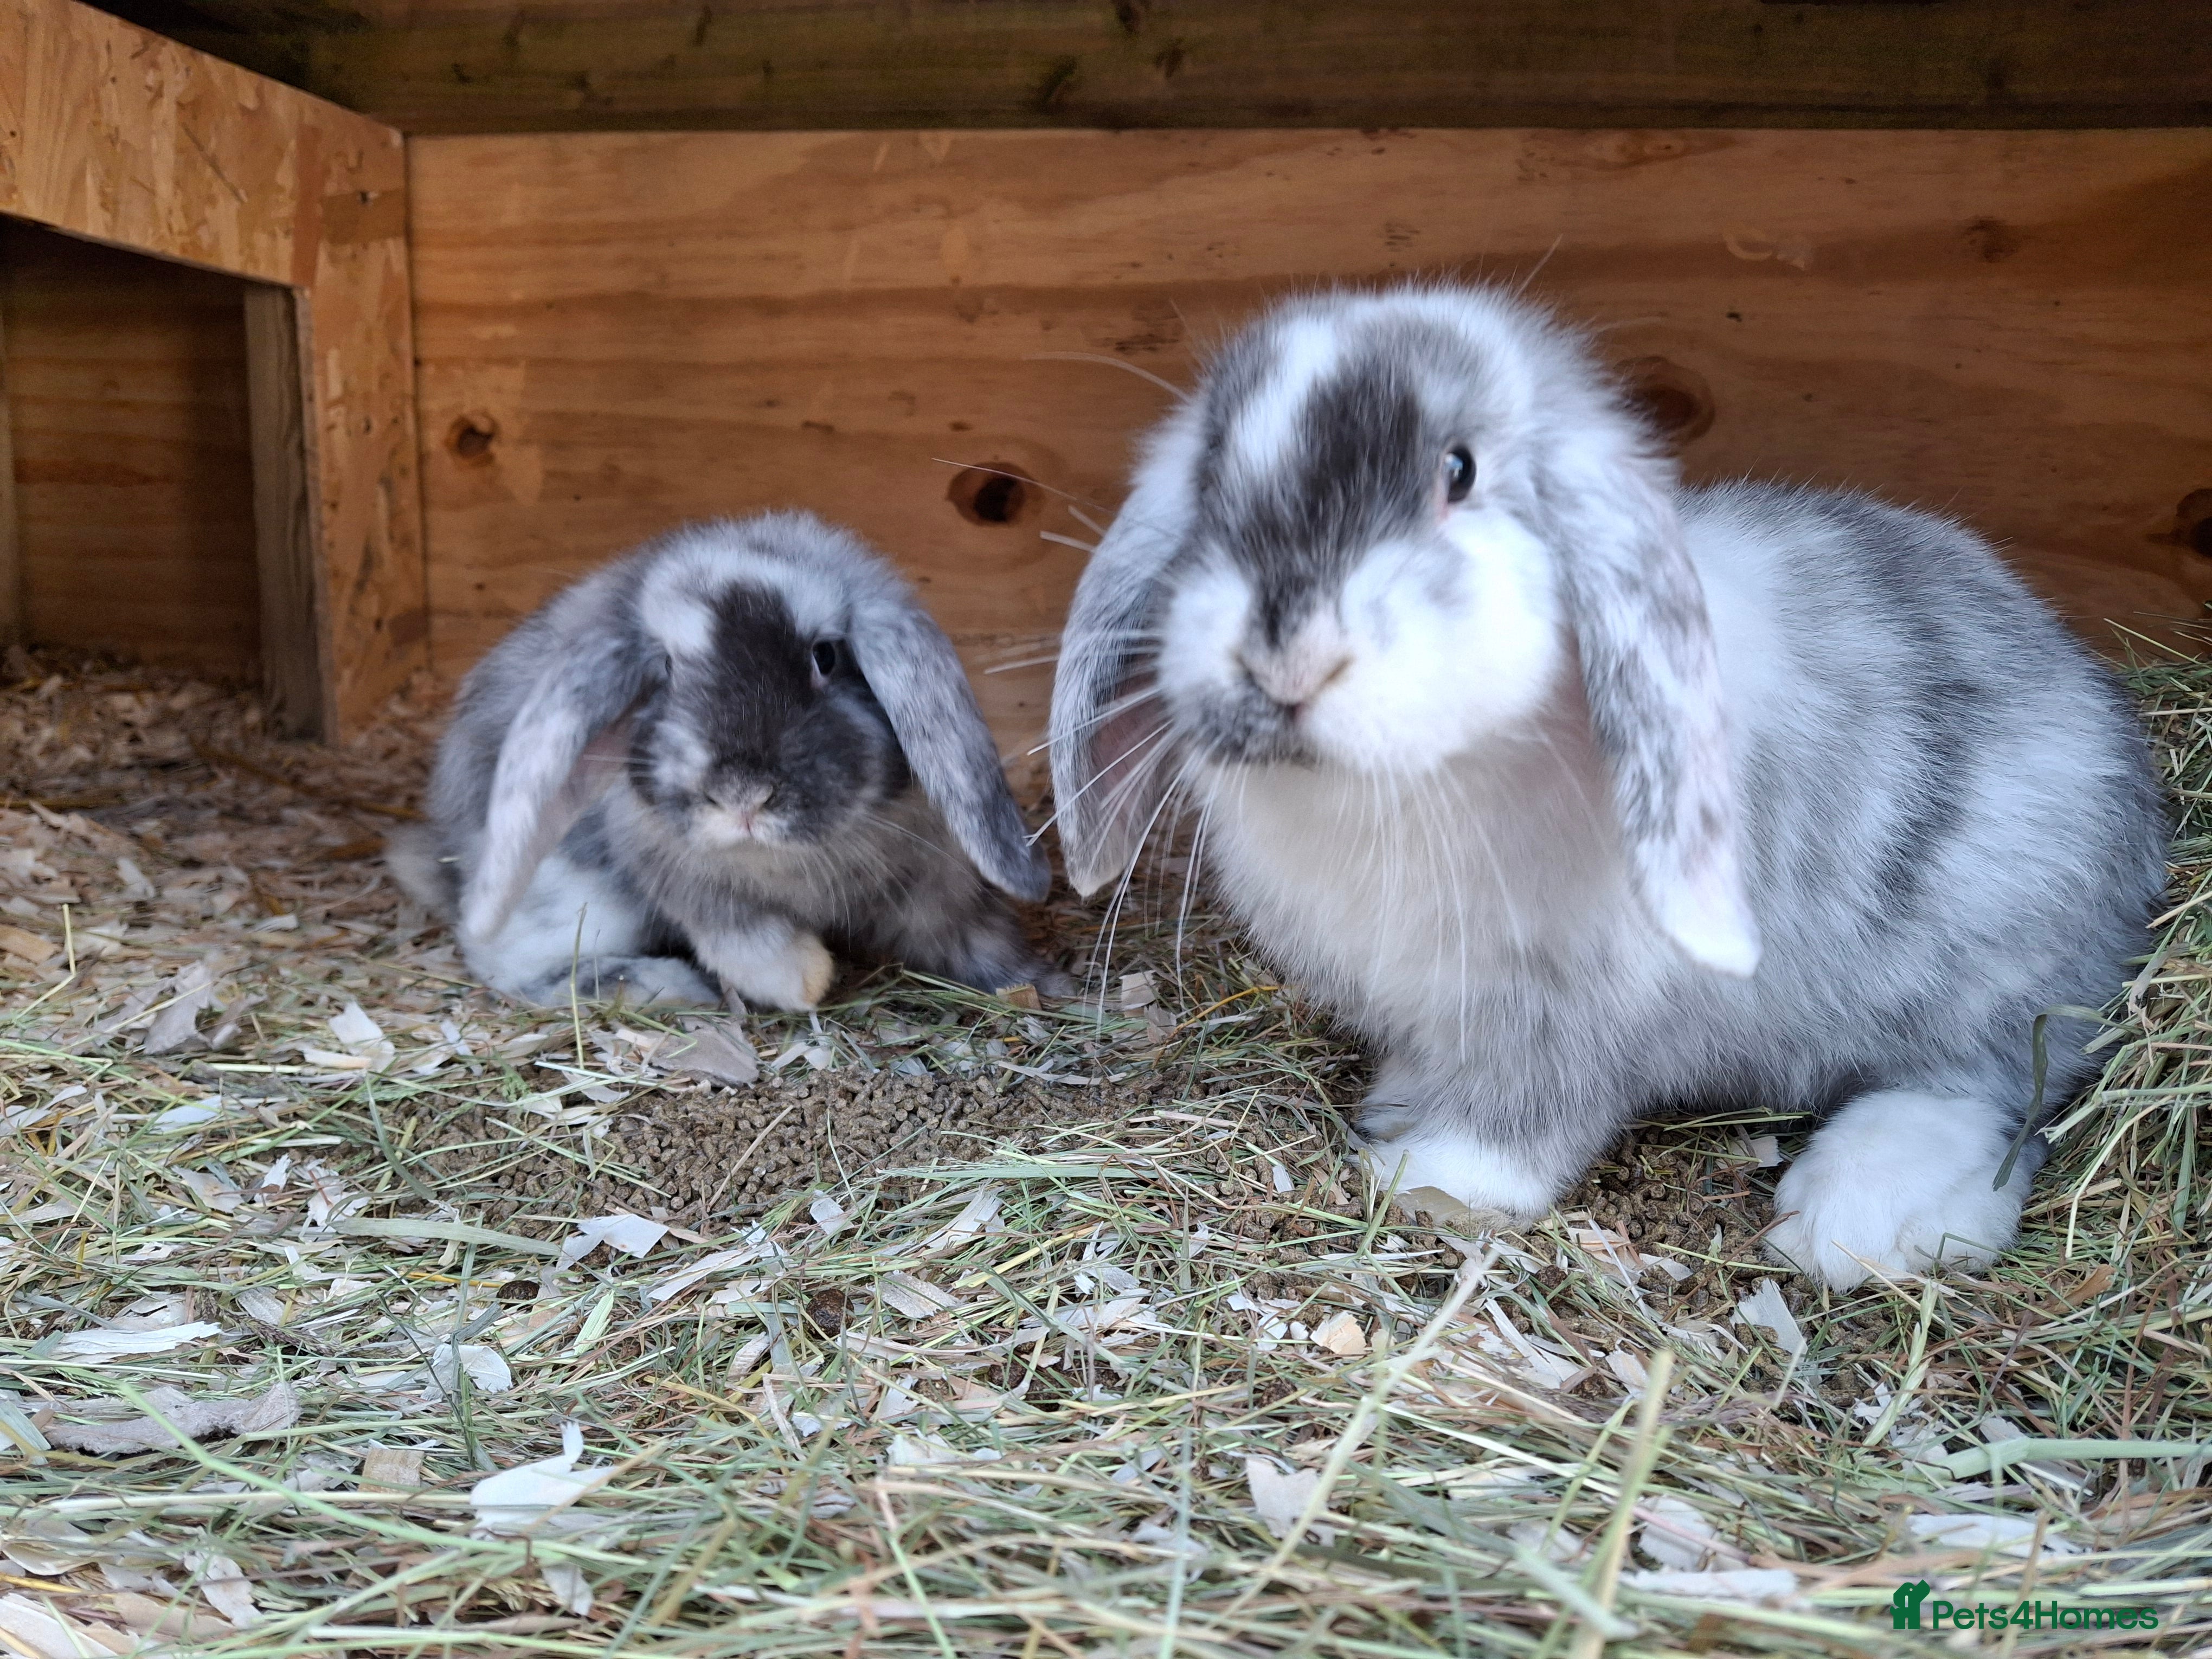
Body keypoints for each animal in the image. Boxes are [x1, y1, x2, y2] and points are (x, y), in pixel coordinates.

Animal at [392, 512, 1056, 1012]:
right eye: (665, 668)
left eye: (825, 656)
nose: (744, 796)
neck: (782, 859)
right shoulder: (690, 885)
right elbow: (748, 939)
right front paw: (808, 980)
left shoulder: (938, 881)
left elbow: (974, 936)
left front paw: (1038, 983)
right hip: (574, 901)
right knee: (510, 965)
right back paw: (667, 985)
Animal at [1048, 283, 2166, 1290]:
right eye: (1209, 479)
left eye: (1460, 472)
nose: (1286, 662)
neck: (1409, 781)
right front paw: (1396, 1110)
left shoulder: (1567, 1007)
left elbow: (1526, 1111)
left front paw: (1428, 1181)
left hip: (1992, 947)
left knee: (1996, 1085)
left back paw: (1856, 1222)